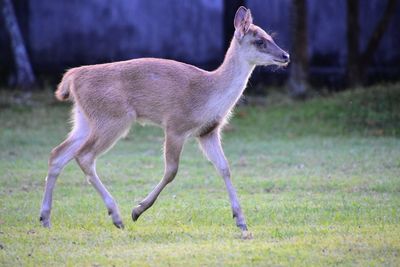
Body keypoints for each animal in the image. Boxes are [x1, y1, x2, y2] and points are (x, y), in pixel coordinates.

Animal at [39, 6, 290, 238]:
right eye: (259, 41)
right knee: (84, 156)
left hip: (85, 119)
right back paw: (117, 217)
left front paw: (241, 221)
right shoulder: (175, 125)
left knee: (58, 154)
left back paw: (45, 219)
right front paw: (137, 210)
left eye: (271, 37)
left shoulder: (208, 132)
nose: (285, 56)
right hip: (112, 118)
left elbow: (224, 168)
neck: (209, 93)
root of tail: (72, 77)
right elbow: (172, 170)